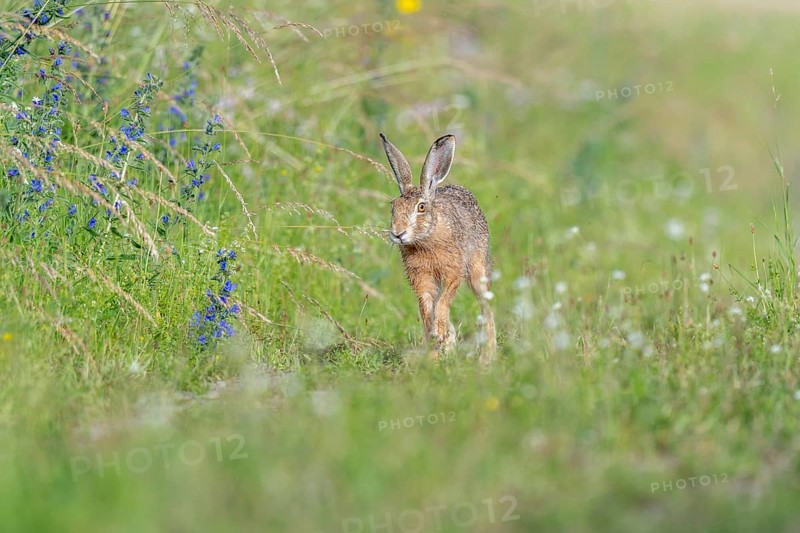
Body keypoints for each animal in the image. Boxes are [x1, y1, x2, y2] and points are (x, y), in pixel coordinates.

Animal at [380, 133, 496, 363]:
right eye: (393, 207)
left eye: (421, 207)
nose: (398, 233)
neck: (426, 238)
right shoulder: (421, 277)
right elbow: (426, 304)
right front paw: (435, 337)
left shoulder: (454, 271)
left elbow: (444, 301)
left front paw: (440, 331)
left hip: (478, 268)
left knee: (486, 306)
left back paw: (488, 355)